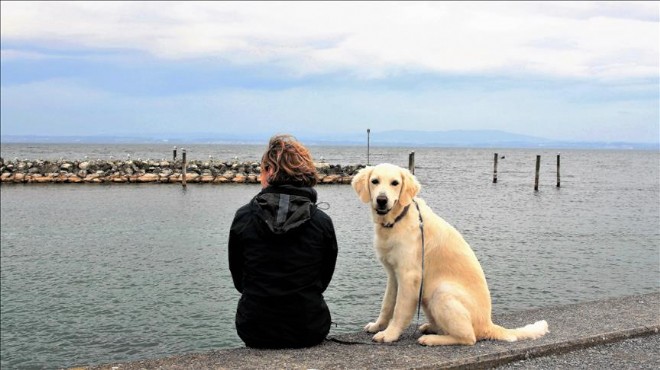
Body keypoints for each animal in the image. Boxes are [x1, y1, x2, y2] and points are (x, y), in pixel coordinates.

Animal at [354, 163, 548, 346]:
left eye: (395, 183)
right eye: (375, 181)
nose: (381, 200)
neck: (396, 221)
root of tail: (488, 324)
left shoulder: (409, 275)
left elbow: (400, 309)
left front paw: (390, 334)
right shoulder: (393, 274)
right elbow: (387, 305)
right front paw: (377, 326)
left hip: (442, 291)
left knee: (468, 337)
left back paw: (431, 339)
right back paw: (431, 328)